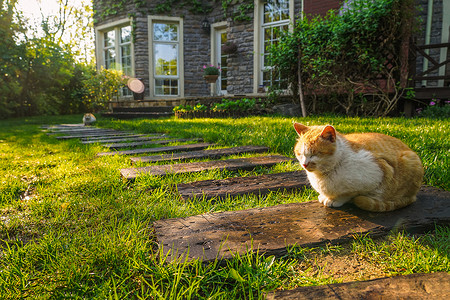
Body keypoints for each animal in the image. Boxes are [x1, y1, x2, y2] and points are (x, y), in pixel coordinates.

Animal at [294, 123, 424, 212]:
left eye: (314, 154)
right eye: (300, 154)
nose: (304, 164)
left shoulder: (377, 174)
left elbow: (348, 194)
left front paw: (334, 200)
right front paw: (325, 197)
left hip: (411, 161)